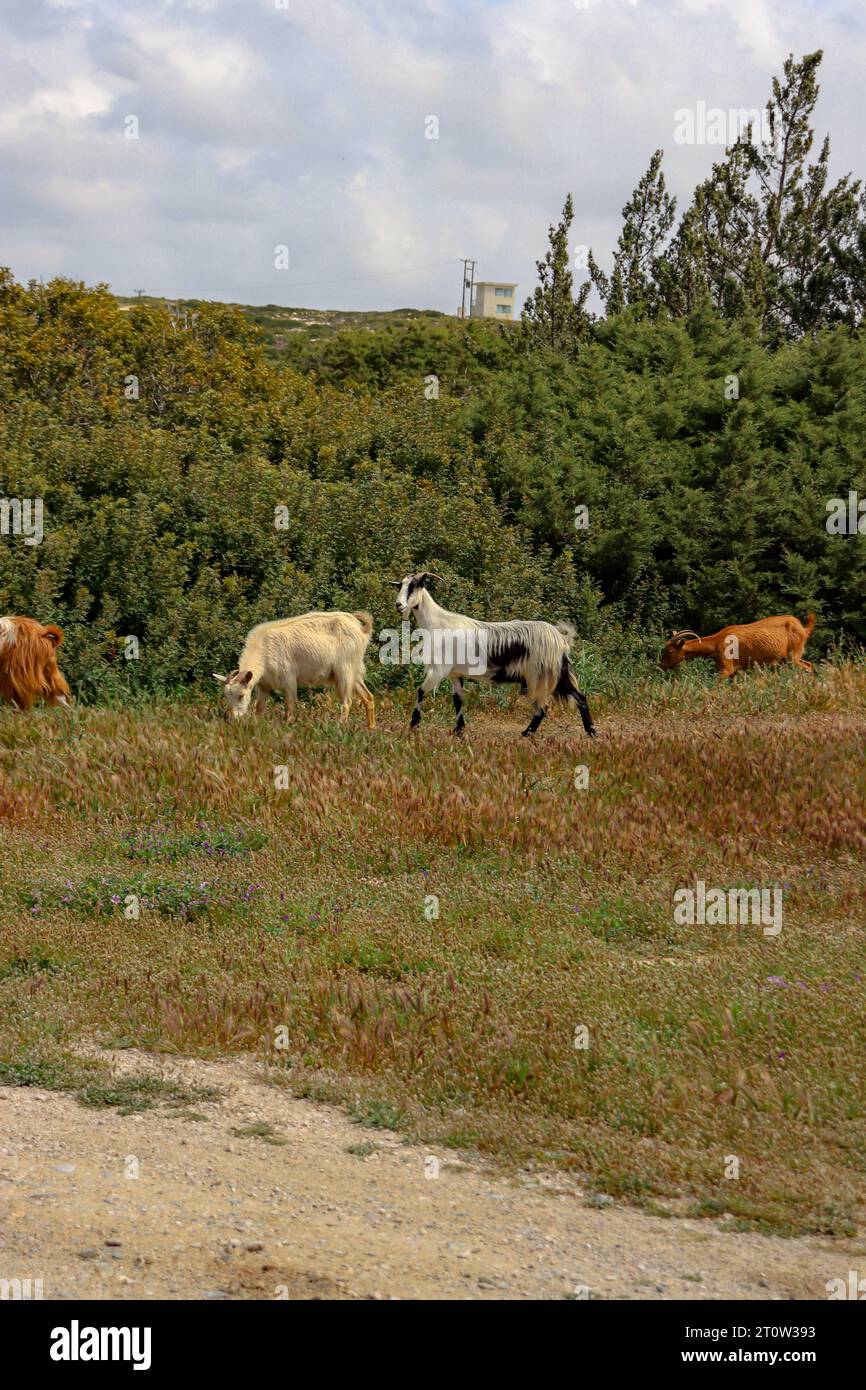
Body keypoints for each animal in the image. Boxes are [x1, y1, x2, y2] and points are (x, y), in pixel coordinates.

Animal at [214, 614, 375, 733]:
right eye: (226, 696)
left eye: (241, 695)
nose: (233, 719)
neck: (263, 649)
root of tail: (359, 627)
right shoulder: (264, 685)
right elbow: (259, 708)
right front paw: (256, 727)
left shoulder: (289, 680)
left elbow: (289, 706)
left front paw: (288, 727)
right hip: (354, 673)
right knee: (368, 697)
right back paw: (370, 729)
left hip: (345, 670)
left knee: (347, 702)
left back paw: (339, 727)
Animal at [391, 569, 594, 739]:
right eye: (400, 586)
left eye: (413, 586)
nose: (398, 605)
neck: (438, 623)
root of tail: (560, 638)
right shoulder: (454, 673)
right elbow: (458, 700)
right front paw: (458, 730)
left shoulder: (439, 670)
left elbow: (420, 692)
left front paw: (413, 725)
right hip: (554, 674)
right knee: (578, 698)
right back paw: (588, 731)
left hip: (539, 675)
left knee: (544, 707)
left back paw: (532, 733)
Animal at [661, 614, 817, 678]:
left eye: (669, 651)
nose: (661, 666)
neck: (717, 642)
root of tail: (804, 629)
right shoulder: (737, 670)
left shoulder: (727, 668)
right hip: (786, 659)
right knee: (808, 664)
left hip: (793, 654)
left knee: (807, 666)